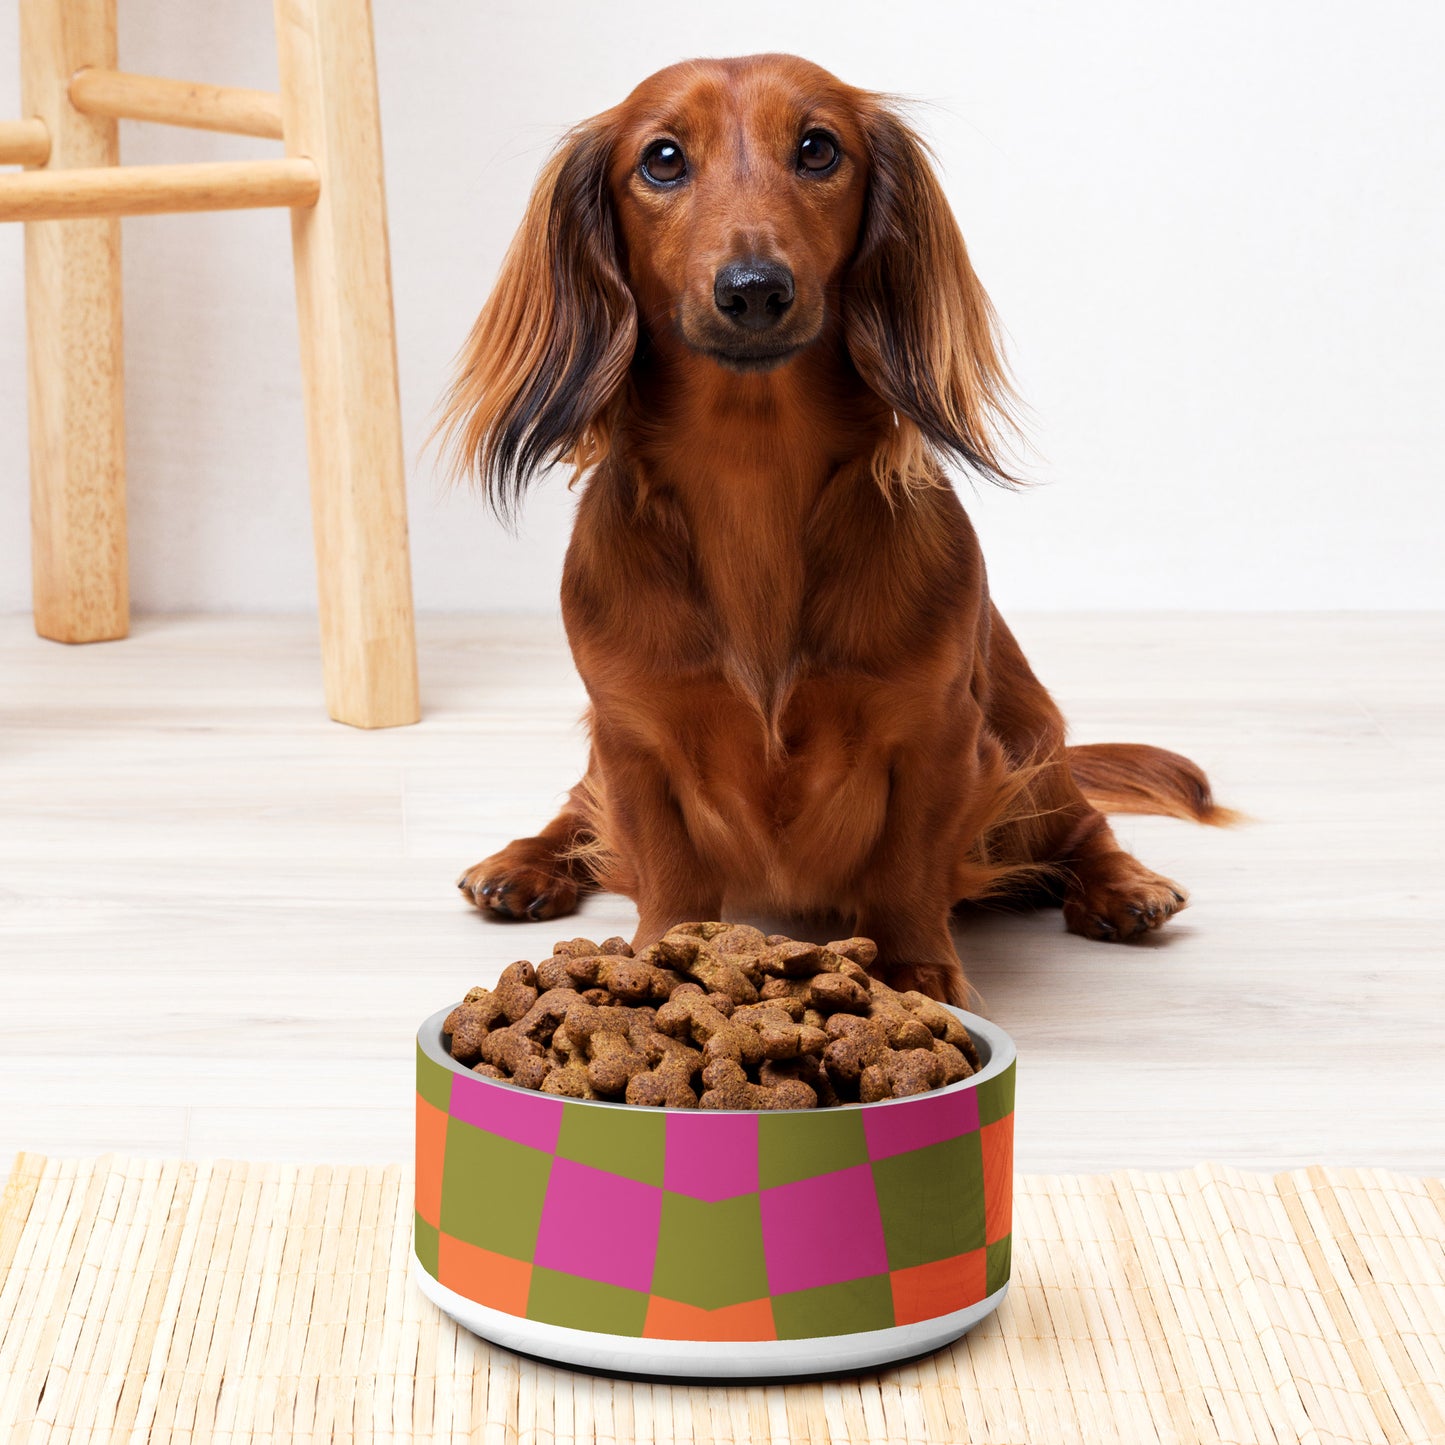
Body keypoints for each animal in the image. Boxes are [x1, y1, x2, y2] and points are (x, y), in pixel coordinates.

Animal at [439, 56, 1231, 1005]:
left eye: (818, 148)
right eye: (661, 159)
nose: (753, 289)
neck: (752, 474)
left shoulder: (937, 734)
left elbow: (906, 866)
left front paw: (915, 970)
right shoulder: (632, 735)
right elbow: (664, 865)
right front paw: (661, 958)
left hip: (1028, 744)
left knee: (1081, 823)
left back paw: (1123, 885)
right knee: (576, 810)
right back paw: (523, 863)